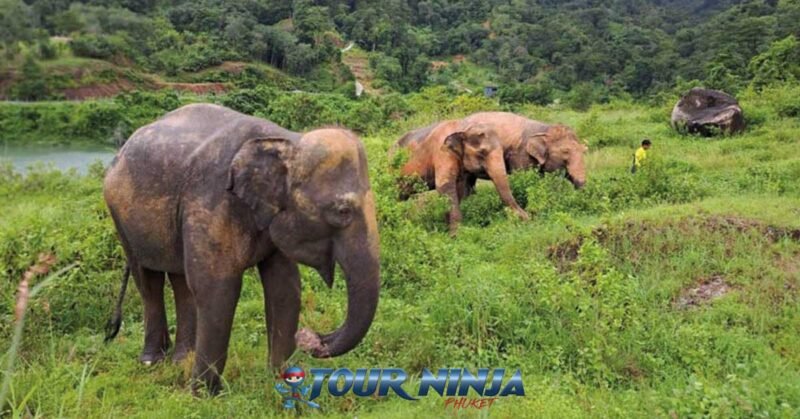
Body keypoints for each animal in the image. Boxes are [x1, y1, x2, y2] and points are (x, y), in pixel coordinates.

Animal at [103, 103, 380, 395]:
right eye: (342, 211)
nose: (310, 336)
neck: (288, 140)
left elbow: (284, 287)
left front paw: (281, 382)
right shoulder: (210, 200)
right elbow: (218, 289)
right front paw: (202, 395)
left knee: (179, 280)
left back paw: (181, 360)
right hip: (119, 215)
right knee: (147, 279)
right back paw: (152, 362)